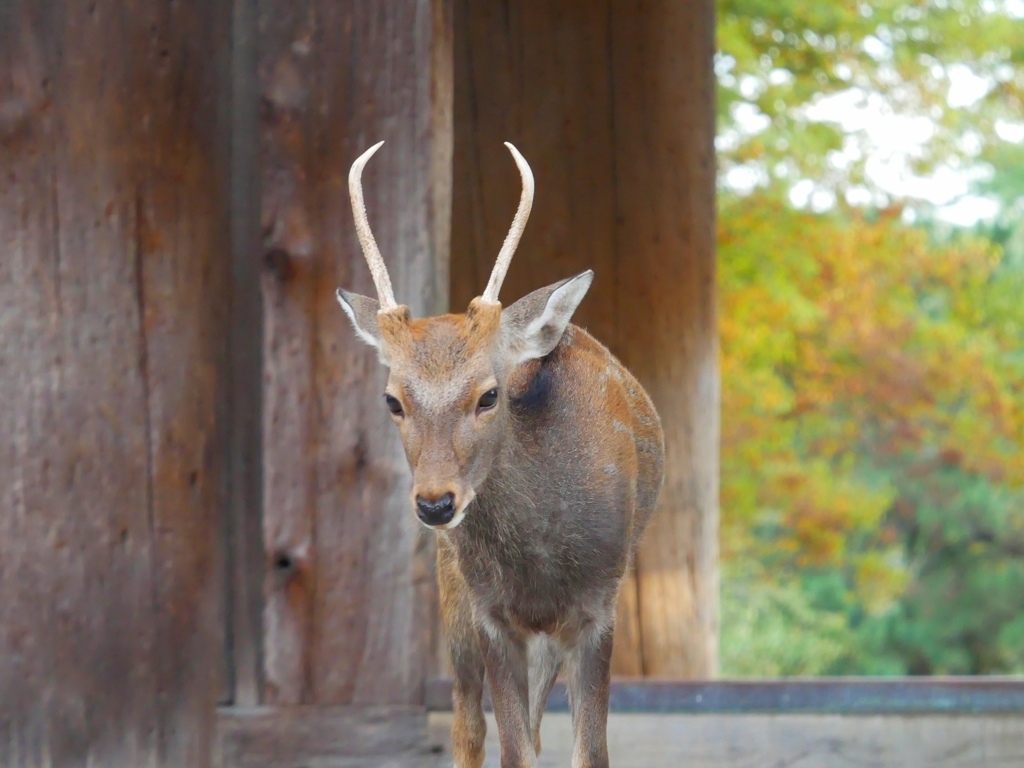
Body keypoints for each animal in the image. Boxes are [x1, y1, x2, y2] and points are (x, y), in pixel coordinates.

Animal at [335, 141, 667, 765]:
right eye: (392, 400)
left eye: (489, 394)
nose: (436, 503)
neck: (539, 558)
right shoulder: (489, 612)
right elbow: (511, 749)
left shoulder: (599, 606)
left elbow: (589, 751)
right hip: (454, 591)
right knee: (468, 723)